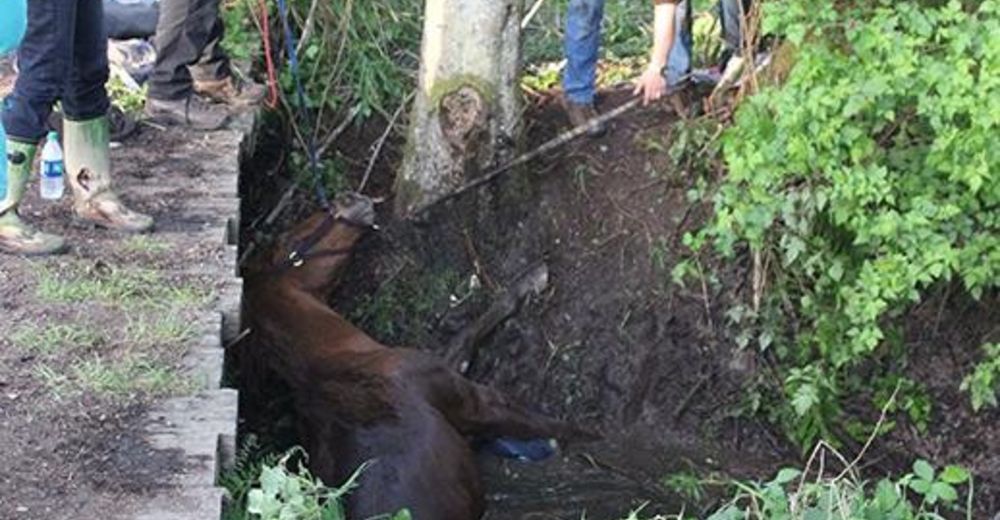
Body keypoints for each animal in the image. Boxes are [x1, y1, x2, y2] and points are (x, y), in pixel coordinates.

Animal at [244, 194, 584, 520]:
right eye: (294, 237)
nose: (346, 197)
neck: (330, 363)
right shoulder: (470, 400)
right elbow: (543, 421)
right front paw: (532, 279)